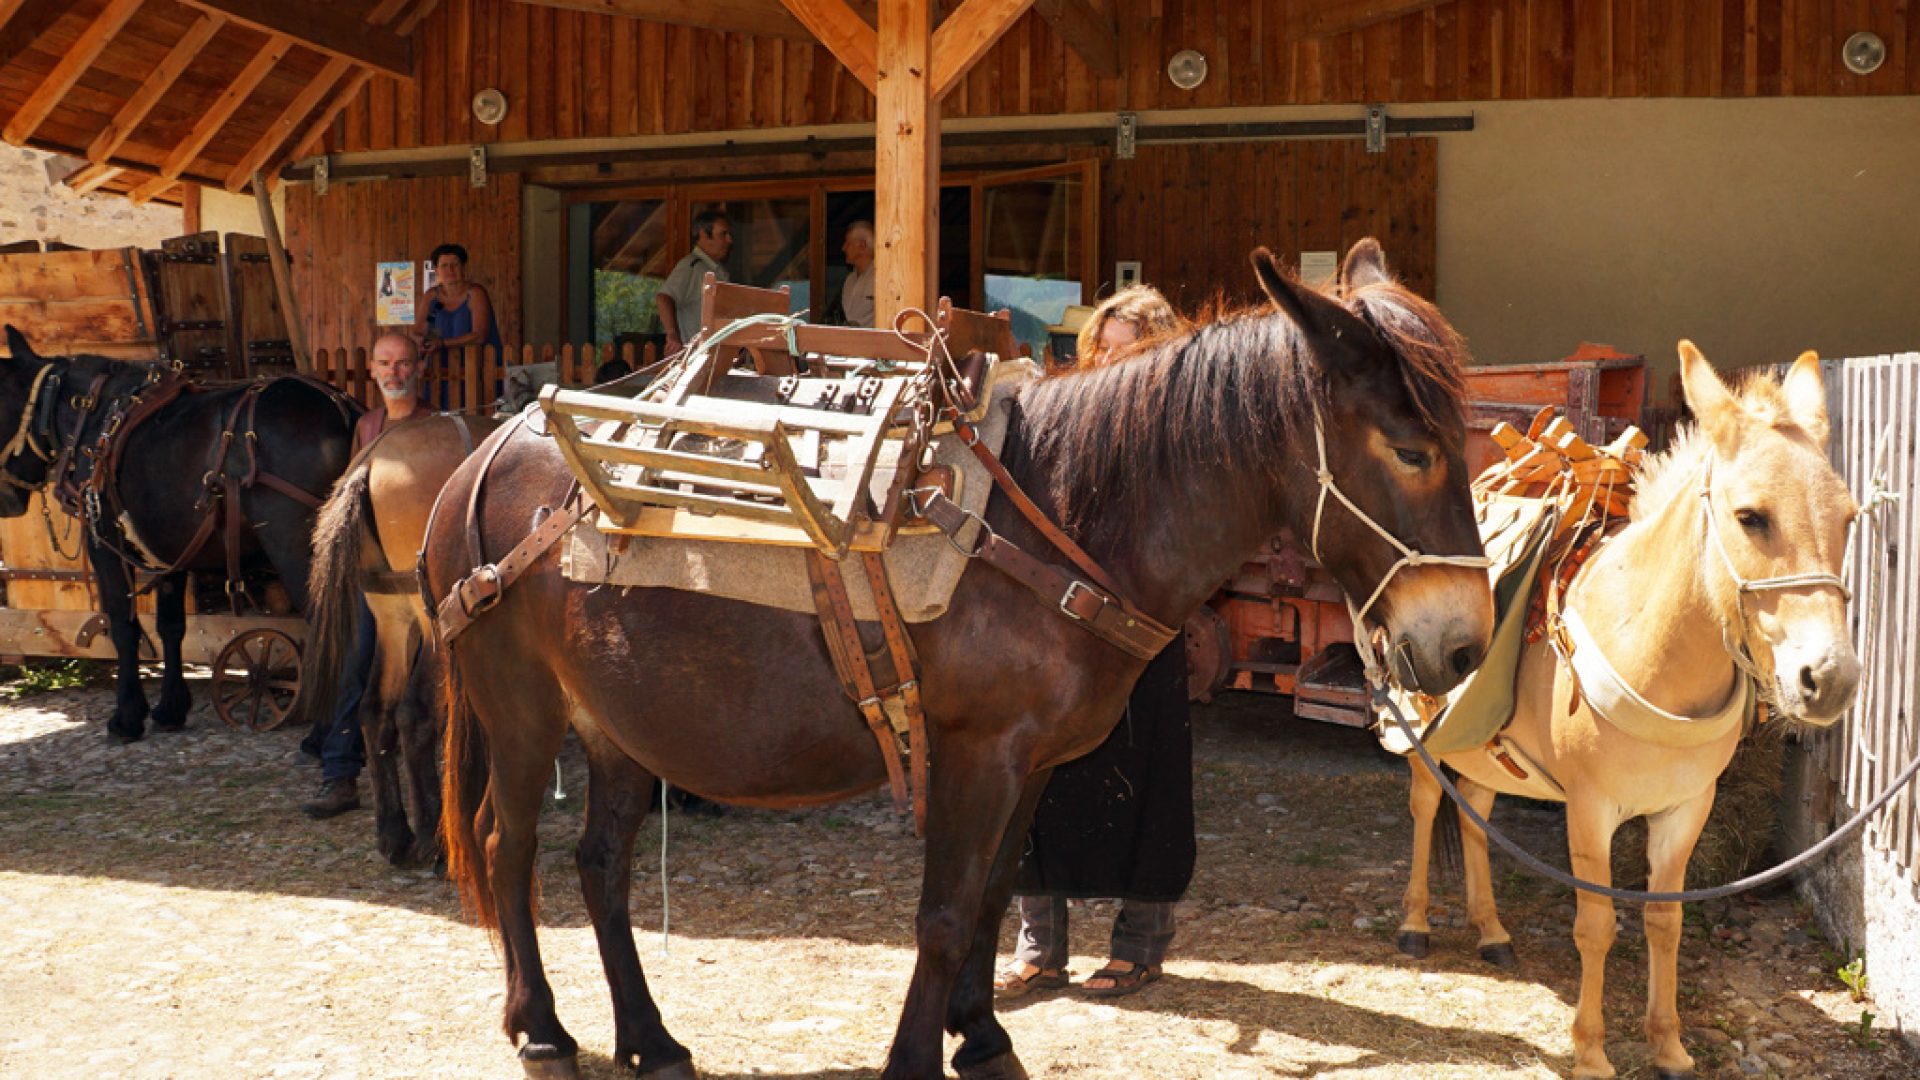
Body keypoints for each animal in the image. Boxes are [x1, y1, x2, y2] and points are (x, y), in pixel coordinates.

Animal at [0, 322, 359, 734]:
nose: (5, 499)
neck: (97, 420)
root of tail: (344, 409)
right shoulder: (166, 554)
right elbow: (171, 626)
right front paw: (171, 707)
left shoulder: (104, 543)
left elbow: (123, 625)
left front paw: (127, 715)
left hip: (299, 554)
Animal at [424, 242, 1497, 1076]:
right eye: (1409, 449)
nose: (1463, 642)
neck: (1058, 519)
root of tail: (482, 453)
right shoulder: (976, 753)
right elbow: (942, 915)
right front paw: (917, 1058)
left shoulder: (1033, 762)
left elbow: (988, 899)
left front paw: (980, 1039)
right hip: (523, 710)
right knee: (505, 846)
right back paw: (542, 1029)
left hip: (617, 723)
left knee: (600, 865)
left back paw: (650, 1040)